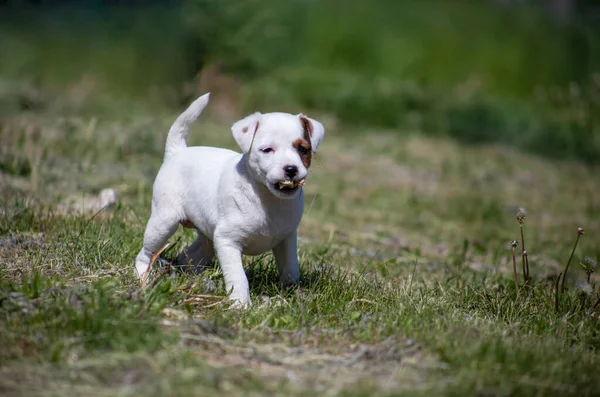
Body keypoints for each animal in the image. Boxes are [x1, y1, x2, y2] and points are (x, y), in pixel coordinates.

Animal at [134, 93, 326, 306]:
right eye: (267, 150)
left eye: (303, 149)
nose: (291, 169)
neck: (267, 198)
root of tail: (178, 151)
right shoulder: (227, 241)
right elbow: (238, 276)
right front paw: (240, 304)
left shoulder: (286, 239)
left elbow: (291, 269)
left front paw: (292, 293)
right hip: (164, 222)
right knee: (145, 253)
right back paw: (143, 276)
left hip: (207, 236)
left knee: (189, 256)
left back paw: (197, 279)